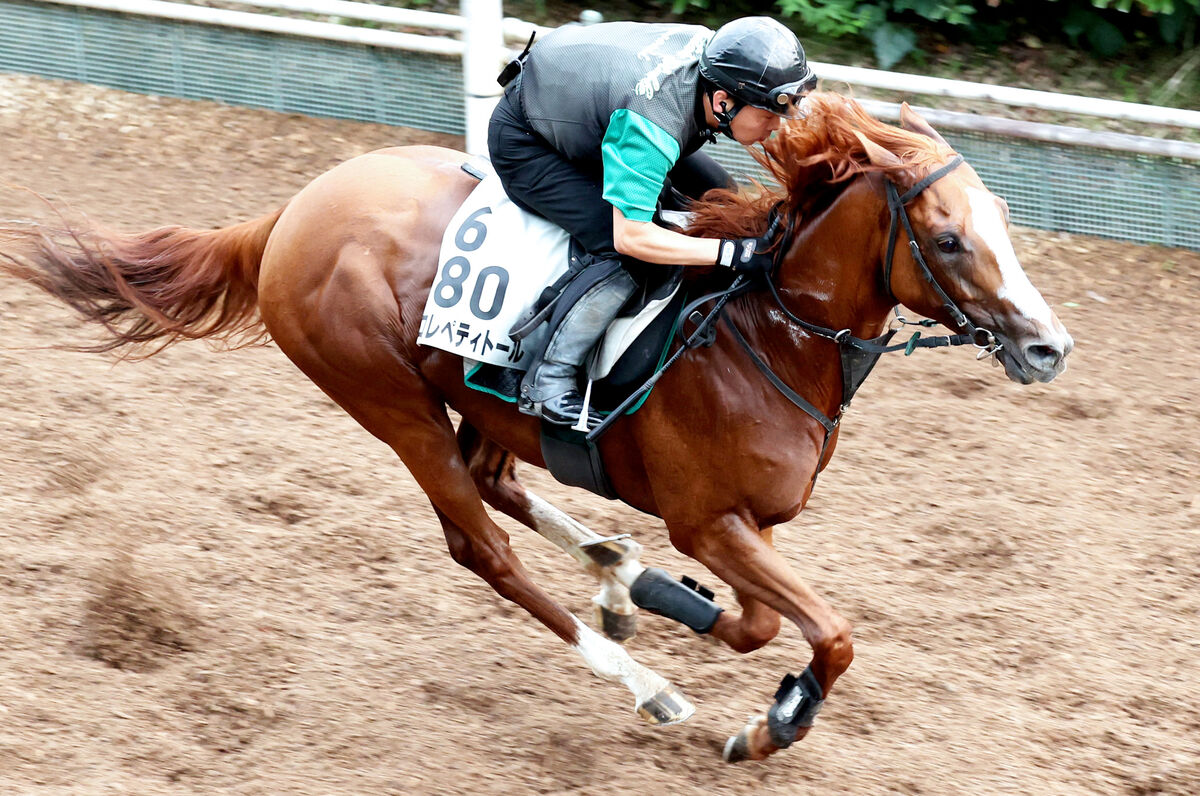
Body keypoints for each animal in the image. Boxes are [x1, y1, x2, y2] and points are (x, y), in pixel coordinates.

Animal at [0, 93, 1070, 768]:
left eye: (1003, 221)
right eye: (948, 238)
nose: (1048, 346)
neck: (766, 328)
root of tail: (293, 212)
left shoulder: (744, 525)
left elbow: (765, 623)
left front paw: (671, 605)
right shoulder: (708, 522)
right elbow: (827, 634)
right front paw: (766, 724)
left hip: (480, 401)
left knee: (501, 484)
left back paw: (617, 574)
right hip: (389, 404)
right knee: (478, 542)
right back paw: (640, 676)